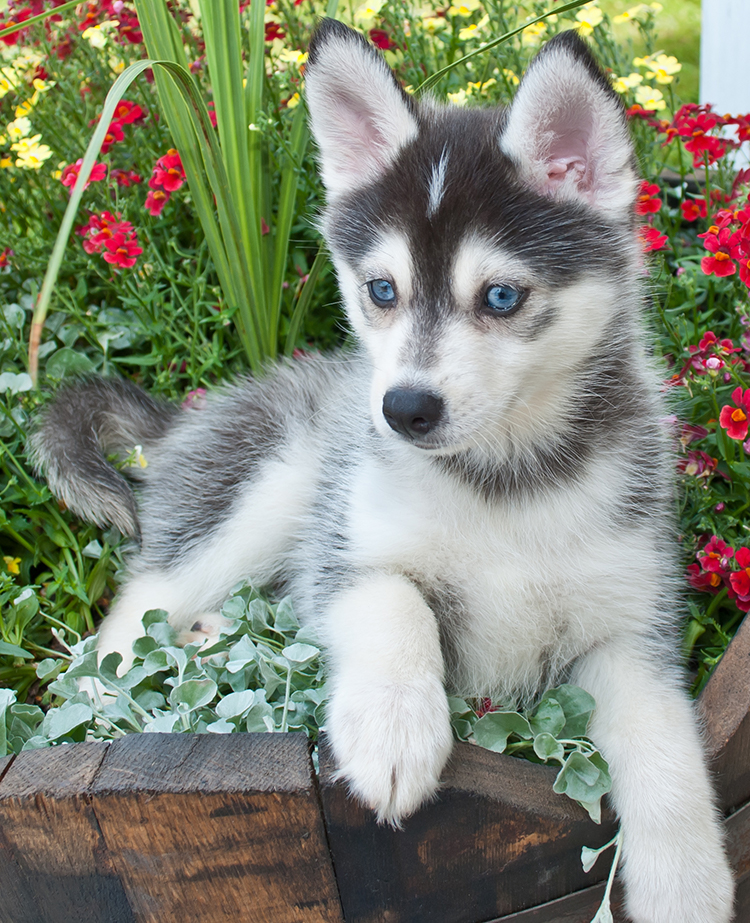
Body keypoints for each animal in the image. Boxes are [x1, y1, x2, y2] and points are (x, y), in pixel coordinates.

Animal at [30, 21, 736, 923]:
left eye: (501, 297)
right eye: (381, 289)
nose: (403, 409)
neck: (502, 480)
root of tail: (188, 413)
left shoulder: (627, 626)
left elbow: (664, 739)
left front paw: (687, 880)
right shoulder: (346, 548)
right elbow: (393, 600)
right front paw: (393, 732)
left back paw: (209, 639)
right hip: (273, 481)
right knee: (136, 607)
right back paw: (104, 699)